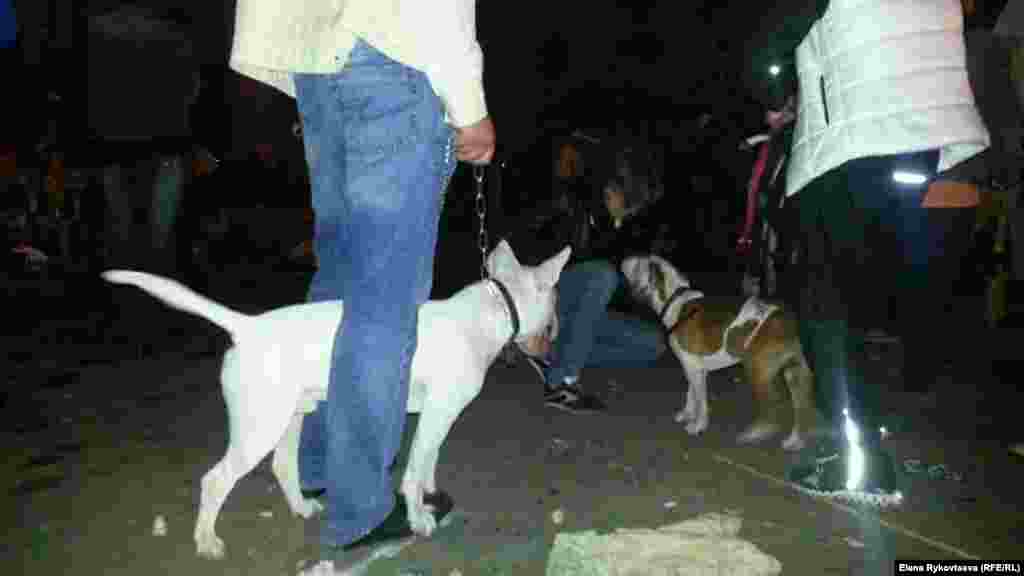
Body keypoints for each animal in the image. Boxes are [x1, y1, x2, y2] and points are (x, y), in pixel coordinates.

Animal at [103, 239, 571, 559]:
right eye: (554, 316)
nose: (552, 358)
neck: (492, 313)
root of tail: (246, 327)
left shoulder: (441, 413)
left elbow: (429, 458)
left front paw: (431, 493)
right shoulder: (437, 412)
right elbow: (414, 469)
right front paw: (419, 517)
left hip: (291, 416)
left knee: (283, 465)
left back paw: (302, 508)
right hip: (259, 428)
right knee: (215, 480)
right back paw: (206, 541)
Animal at [621, 255, 816, 451]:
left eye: (639, 263)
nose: (624, 259)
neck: (674, 301)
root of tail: (783, 320)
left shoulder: (693, 368)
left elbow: (701, 402)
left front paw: (698, 425)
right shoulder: (693, 368)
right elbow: (691, 393)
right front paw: (688, 413)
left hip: (758, 372)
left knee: (773, 408)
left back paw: (757, 434)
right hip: (793, 373)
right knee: (801, 406)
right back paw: (795, 441)